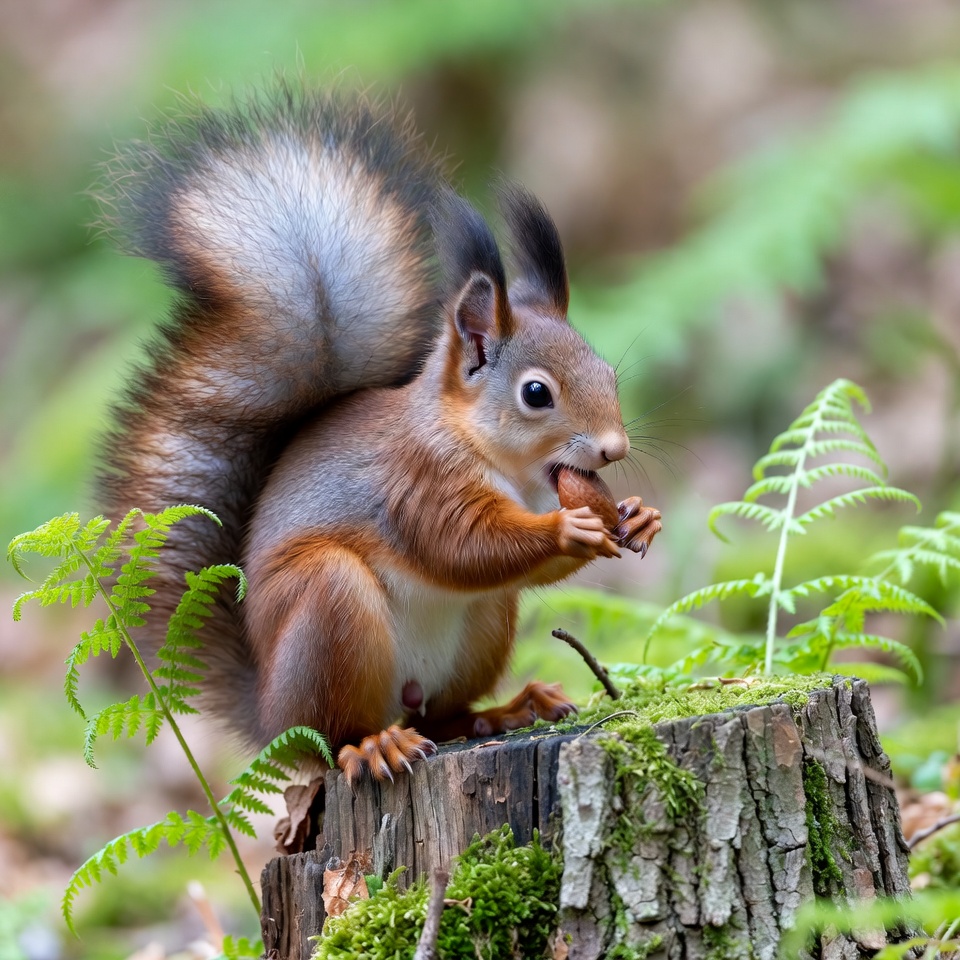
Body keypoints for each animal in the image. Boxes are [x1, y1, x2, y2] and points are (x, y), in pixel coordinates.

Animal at [99, 87, 662, 783]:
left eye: (609, 373)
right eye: (536, 394)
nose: (615, 449)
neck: (507, 468)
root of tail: (269, 720)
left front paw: (637, 516)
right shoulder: (416, 481)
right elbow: (462, 547)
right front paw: (570, 528)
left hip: (483, 624)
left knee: (443, 716)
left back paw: (503, 711)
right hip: (327, 605)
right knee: (335, 733)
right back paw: (373, 746)